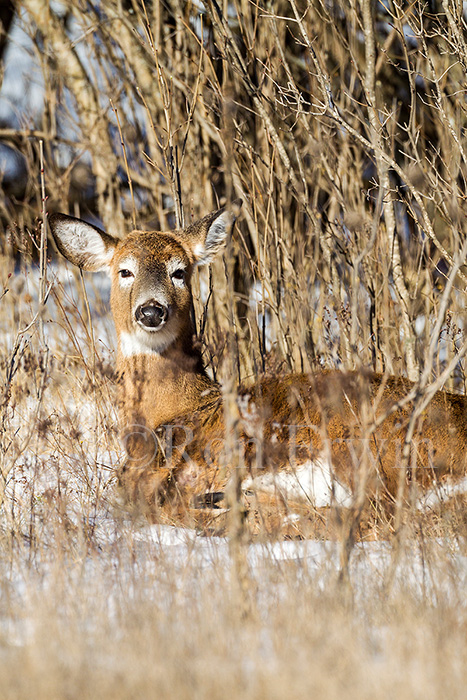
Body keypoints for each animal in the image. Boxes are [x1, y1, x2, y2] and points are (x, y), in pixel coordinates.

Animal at [49, 205, 467, 540]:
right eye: (124, 271)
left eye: (179, 272)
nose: (151, 310)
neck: (168, 413)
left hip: (365, 444)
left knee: (377, 514)